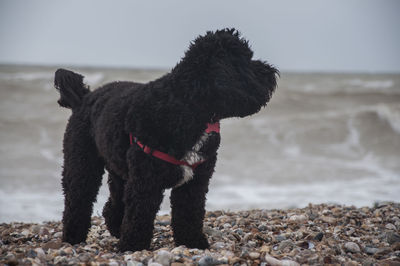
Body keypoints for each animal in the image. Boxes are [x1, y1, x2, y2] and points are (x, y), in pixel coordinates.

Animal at [54, 29, 276, 251]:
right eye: (245, 60)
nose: (272, 71)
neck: (187, 105)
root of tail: (84, 98)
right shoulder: (145, 181)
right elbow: (139, 216)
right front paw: (133, 246)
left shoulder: (195, 182)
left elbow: (189, 214)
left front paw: (193, 243)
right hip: (82, 164)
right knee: (78, 199)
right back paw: (73, 237)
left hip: (119, 169)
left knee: (114, 203)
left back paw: (116, 228)